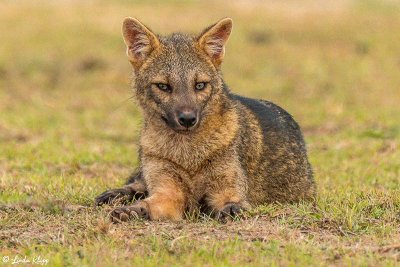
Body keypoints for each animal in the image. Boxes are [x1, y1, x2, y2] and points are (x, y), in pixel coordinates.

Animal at [96, 16, 316, 222]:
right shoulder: (168, 191)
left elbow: (231, 203)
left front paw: (230, 210)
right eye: (163, 86)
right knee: (137, 183)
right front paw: (132, 210)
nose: (187, 119)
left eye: (200, 85)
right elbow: (149, 203)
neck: (187, 156)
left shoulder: (227, 190)